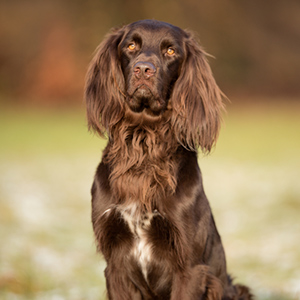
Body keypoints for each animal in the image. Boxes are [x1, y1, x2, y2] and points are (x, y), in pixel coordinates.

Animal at [85, 19, 253, 300]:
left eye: (171, 51)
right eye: (131, 46)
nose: (144, 70)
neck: (143, 146)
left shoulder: (190, 266)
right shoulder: (115, 265)